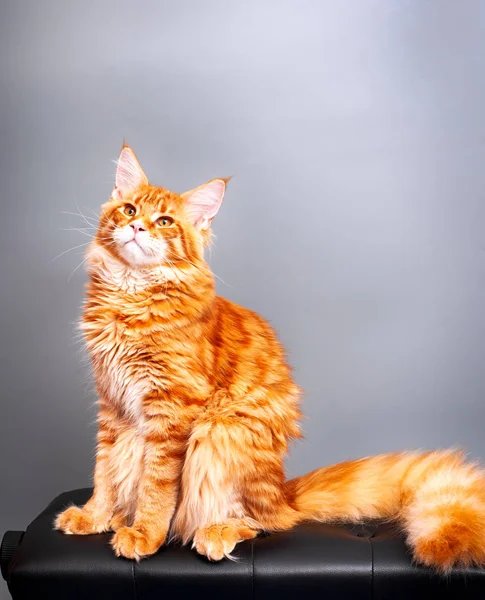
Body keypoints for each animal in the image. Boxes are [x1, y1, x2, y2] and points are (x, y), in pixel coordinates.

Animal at [54, 145, 484, 572]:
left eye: (164, 222)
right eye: (129, 210)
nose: (138, 228)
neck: (129, 296)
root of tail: (282, 494)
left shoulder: (173, 408)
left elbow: (156, 487)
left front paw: (145, 534)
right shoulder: (112, 404)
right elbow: (104, 472)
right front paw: (95, 516)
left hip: (220, 431)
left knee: (260, 523)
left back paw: (214, 533)